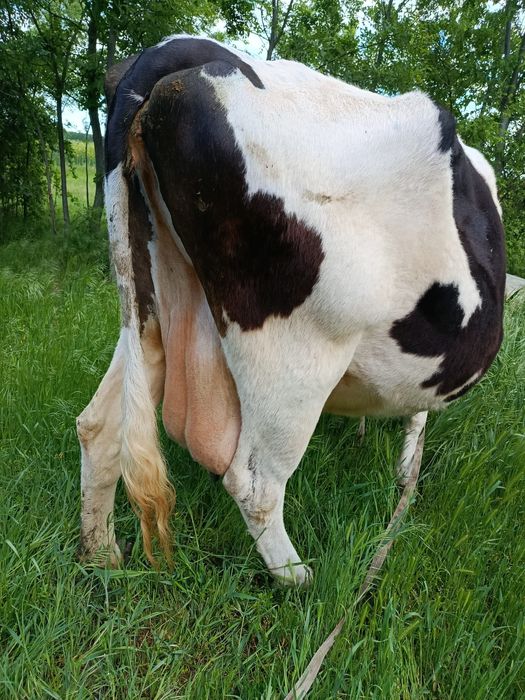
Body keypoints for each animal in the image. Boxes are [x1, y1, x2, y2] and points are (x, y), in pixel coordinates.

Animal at [76, 35, 506, 585]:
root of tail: (185, 48)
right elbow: (418, 419)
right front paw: (406, 469)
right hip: (299, 352)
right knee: (253, 483)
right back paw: (298, 577)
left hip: (150, 308)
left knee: (100, 426)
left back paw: (102, 553)